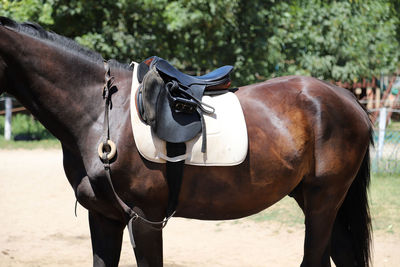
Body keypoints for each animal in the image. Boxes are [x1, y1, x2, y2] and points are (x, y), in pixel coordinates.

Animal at [1, 16, 374, 267]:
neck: (100, 112)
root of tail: (346, 97)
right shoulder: (104, 217)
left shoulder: (145, 218)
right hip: (316, 200)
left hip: (325, 199)